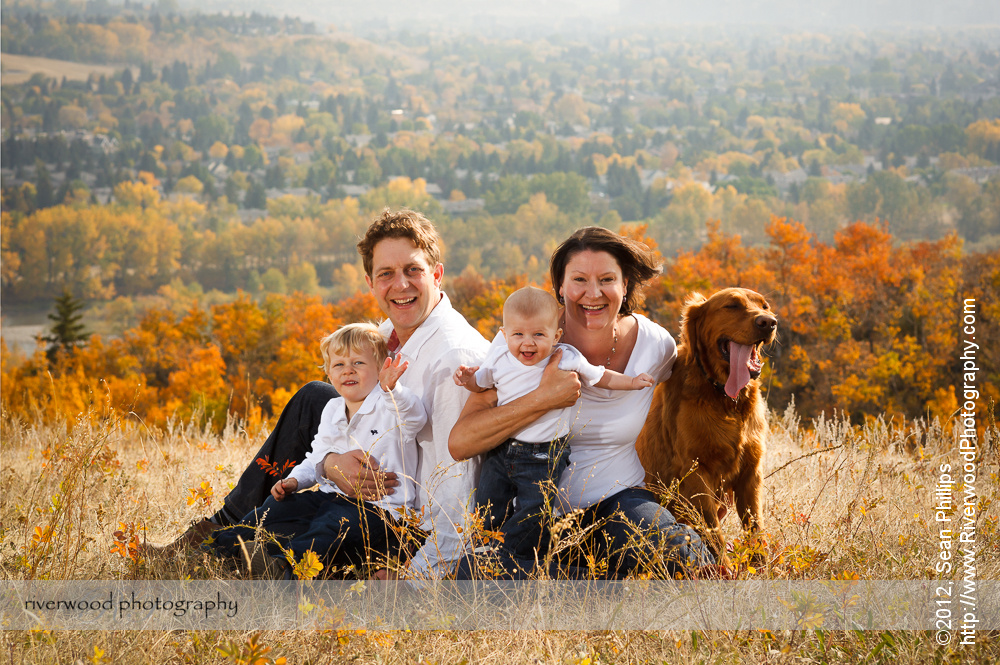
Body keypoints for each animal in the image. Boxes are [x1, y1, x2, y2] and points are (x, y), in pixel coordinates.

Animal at [636, 286, 776, 564]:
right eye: (732, 305)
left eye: (764, 306)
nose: (768, 322)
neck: (727, 400)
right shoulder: (696, 472)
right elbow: (714, 535)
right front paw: (724, 569)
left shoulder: (751, 472)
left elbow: (756, 530)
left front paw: (765, 568)